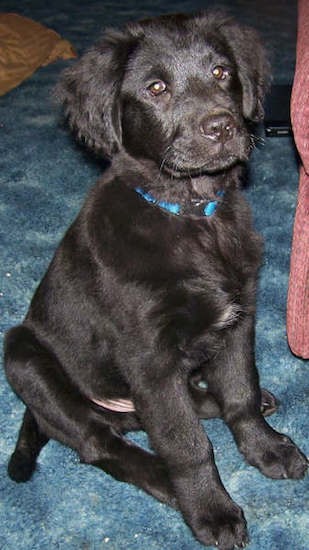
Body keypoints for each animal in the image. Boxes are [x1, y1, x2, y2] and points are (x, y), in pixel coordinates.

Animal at [4, 11, 306, 550]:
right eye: (156, 88)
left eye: (222, 73)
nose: (222, 126)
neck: (191, 215)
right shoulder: (149, 356)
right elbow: (187, 445)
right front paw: (210, 509)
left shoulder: (239, 318)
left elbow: (241, 393)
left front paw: (267, 449)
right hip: (22, 355)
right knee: (101, 442)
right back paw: (165, 482)